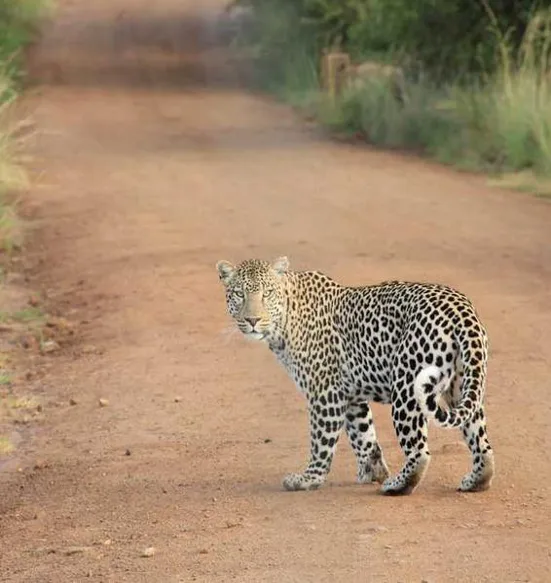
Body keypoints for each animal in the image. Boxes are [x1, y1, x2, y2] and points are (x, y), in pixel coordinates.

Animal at [216, 256, 495, 495]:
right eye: (239, 294)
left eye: (267, 294)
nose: (252, 320)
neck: (284, 322)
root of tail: (461, 310)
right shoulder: (350, 395)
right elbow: (364, 435)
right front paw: (373, 472)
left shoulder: (325, 392)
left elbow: (321, 440)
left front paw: (309, 478)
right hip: (462, 384)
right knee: (481, 442)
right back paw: (476, 480)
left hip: (407, 387)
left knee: (419, 452)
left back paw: (397, 485)